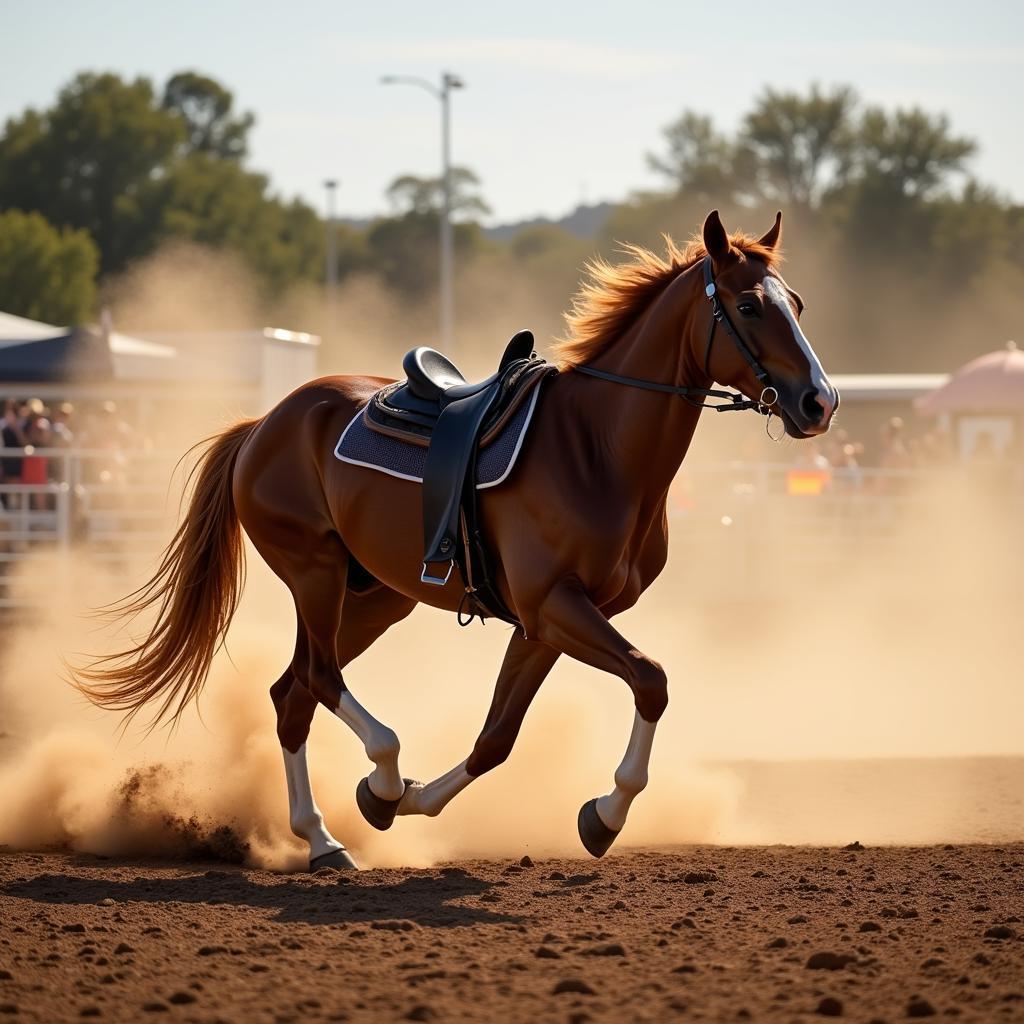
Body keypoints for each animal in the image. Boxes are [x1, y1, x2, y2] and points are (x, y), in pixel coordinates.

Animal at [74, 211, 839, 868]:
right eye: (748, 306)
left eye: (800, 305)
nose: (820, 402)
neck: (594, 448)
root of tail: (265, 422)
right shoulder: (554, 606)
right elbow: (651, 679)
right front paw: (605, 812)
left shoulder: (545, 623)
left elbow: (498, 737)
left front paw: (426, 804)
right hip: (314, 571)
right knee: (319, 679)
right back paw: (375, 780)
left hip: (377, 595)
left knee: (291, 693)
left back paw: (323, 837)